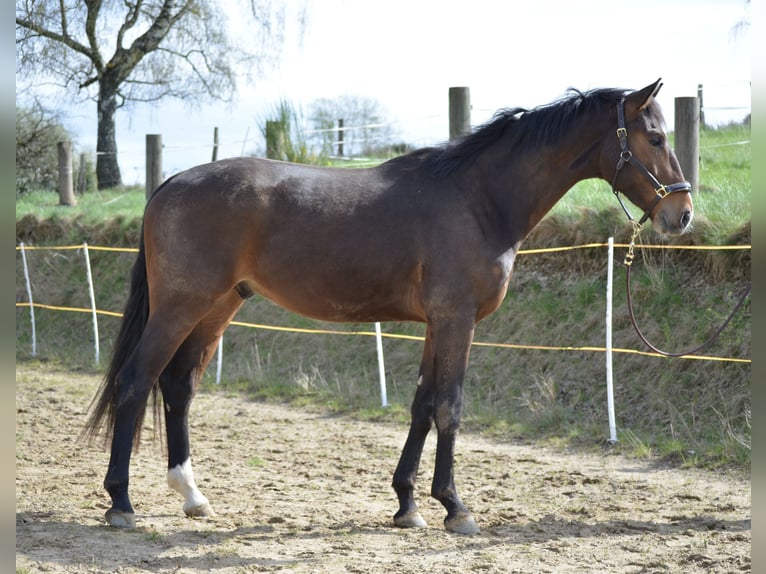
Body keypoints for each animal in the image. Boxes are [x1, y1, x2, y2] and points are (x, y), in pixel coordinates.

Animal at [85, 77, 696, 536]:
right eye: (655, 137)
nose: (683, 214)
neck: (478, 199)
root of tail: (169, 183)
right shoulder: (456, 320)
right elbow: (449, 406)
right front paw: (455, 508)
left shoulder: (436, 325)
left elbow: (422, 406)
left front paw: (407, 504)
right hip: (180, 307)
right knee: (136, 382)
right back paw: (121, 504)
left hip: (216, 308)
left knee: (178, 386)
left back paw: (192, 496)